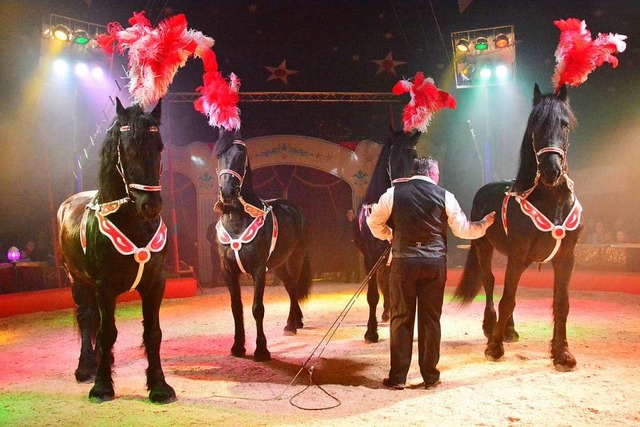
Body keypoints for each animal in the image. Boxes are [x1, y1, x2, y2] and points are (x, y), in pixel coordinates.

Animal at [55, 98, 174, 402]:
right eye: (127, 148)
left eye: (159, 147)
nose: (150, 205)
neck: (133, 224)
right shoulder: (104, 286)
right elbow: (106, 333)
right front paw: (102, 386)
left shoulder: (155, 283)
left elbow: (153, 333)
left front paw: (159, 386)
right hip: (77, 280)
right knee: (87, 319)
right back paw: (86, 367)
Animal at [214, 128, 312, 362]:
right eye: (219, 155)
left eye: (240, 154)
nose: (227, 192)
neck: (238, 217)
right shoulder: (228, 270)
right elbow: (236, 308)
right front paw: (238, 347)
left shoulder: (258, 269)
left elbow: (257, 309)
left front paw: (261, 350)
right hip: (279, 265)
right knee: (290, 288)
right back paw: (296, 321)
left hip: (294, 259)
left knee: (295, 287)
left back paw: (291, 325)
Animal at [452, 84, 584, 372]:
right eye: (535, 124)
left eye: (564, 124)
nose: (551, 170)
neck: (550, 200)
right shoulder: (517, 255)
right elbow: (507, 298)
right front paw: (494, 347)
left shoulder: (565, 258)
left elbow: (561, 303)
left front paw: (562, 353)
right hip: (485, 248)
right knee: (491, 283)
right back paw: (492, 328)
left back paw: (508, 330)